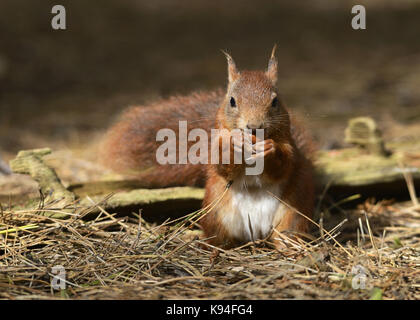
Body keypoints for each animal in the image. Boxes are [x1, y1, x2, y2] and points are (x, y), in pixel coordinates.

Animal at [100, 47, 314, 249]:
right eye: (232, 101)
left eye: (275, 101)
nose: (254, 126)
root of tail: (256, 233)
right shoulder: (216, 144)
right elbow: (222, 164)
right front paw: (234, 144)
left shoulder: (290, 146)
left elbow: (284, 165)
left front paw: (269, 149)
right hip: (216, 213)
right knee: (220, 240)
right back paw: (211, 250)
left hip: (292, 214)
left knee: (287, 236)